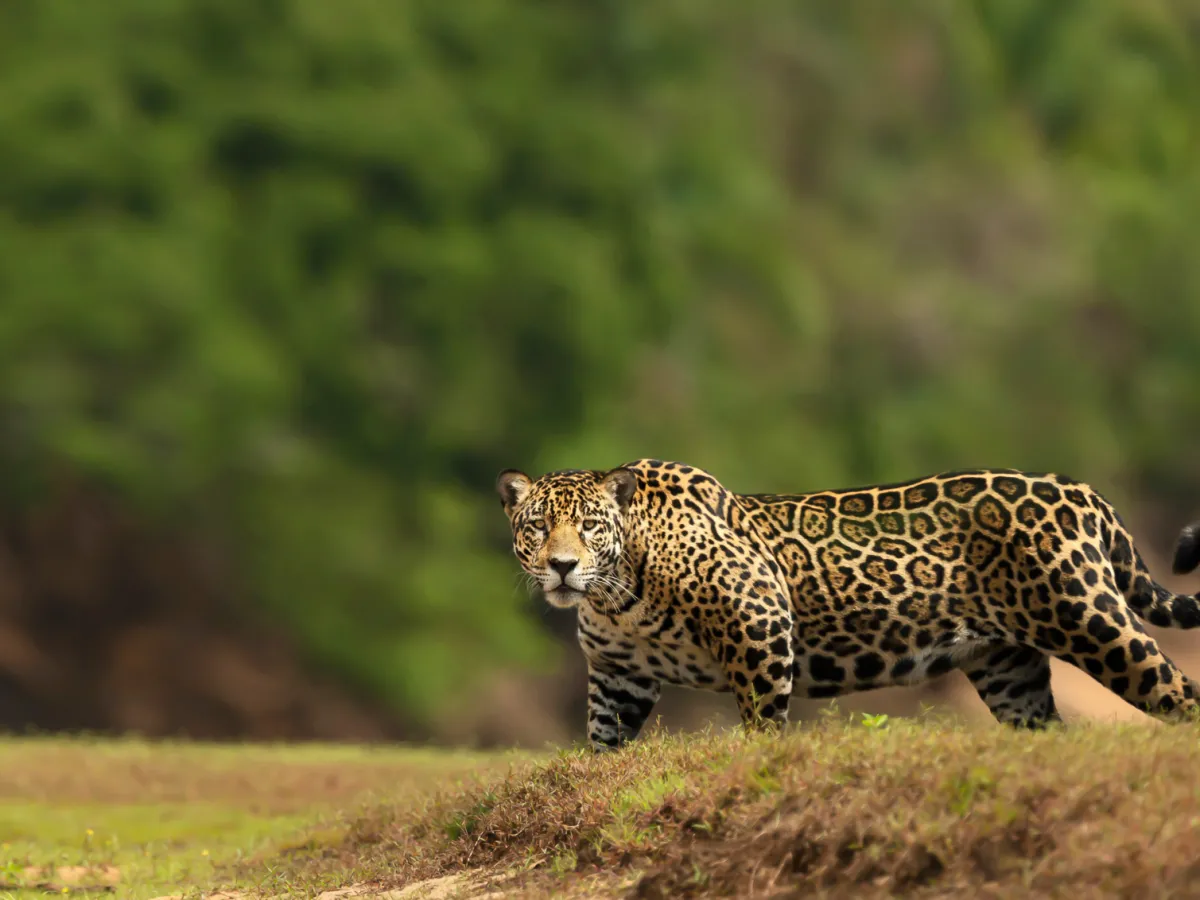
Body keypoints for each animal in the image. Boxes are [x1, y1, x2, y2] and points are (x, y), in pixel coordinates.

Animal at [496, 459, 1200, 751]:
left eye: (589, 526)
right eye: (537, 527)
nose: (562, 566)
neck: (618, 592)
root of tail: (1076, 487)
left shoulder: (758, 622)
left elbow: (761, 720)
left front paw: (762, 767)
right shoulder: (620, 675)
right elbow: (603, 743)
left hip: (1090, 620)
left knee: (1178, 693)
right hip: (1009, 667)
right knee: (1044, 725)